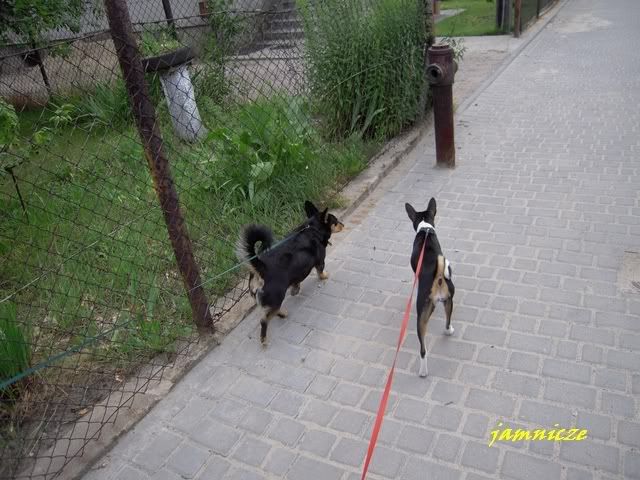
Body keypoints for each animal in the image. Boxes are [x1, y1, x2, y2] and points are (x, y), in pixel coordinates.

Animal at [237, 200, 344, 344]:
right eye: (336, 222)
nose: (343, 225)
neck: (312, 229)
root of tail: (261, 268)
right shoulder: (320, 261)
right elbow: (320, 271)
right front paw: (324, 276)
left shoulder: (297, 273)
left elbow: (296, 283)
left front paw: (295, 290)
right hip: (276, 298)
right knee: (264, 320)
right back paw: (264, 339)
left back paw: (281, 314)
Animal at [405, 198, 455, 377]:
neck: (425, 229)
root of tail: (438, 275)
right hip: (448, 301)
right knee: (446, 323)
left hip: (423, 312)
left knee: (423, 349)